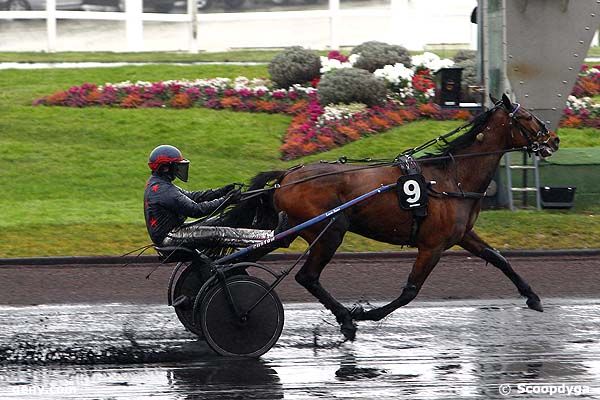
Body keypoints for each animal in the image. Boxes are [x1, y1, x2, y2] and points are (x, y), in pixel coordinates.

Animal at [223, 94, 560, 340]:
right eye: (527, 116)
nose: (554, 139)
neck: (451, 178)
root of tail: (287, 176)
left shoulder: (462, 235)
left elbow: (498, 258)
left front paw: (532, 297)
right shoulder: (432, 245)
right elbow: (410, 291)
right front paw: (365, 313)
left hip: (289, 230)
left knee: (250, 255)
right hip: (330, 230)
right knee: (307, 276)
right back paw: (345, 319)